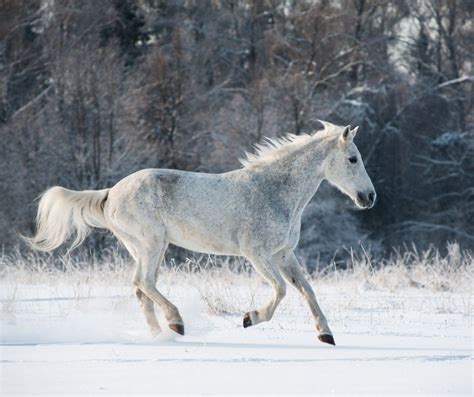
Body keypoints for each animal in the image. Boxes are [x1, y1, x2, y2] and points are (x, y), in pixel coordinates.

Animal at [27, 120, 378, 344]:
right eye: (353, 159)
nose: (369, 197)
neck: (274, 192)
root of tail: (111, 192)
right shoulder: (257, 253)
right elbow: (281, 290)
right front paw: (249, 318)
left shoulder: (284, 254)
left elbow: (307, 291)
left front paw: (326, 335)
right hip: (152, 243)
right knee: (144, 283)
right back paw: (177, 323)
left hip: (142, 247)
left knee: (141, 290)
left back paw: (161, 335)